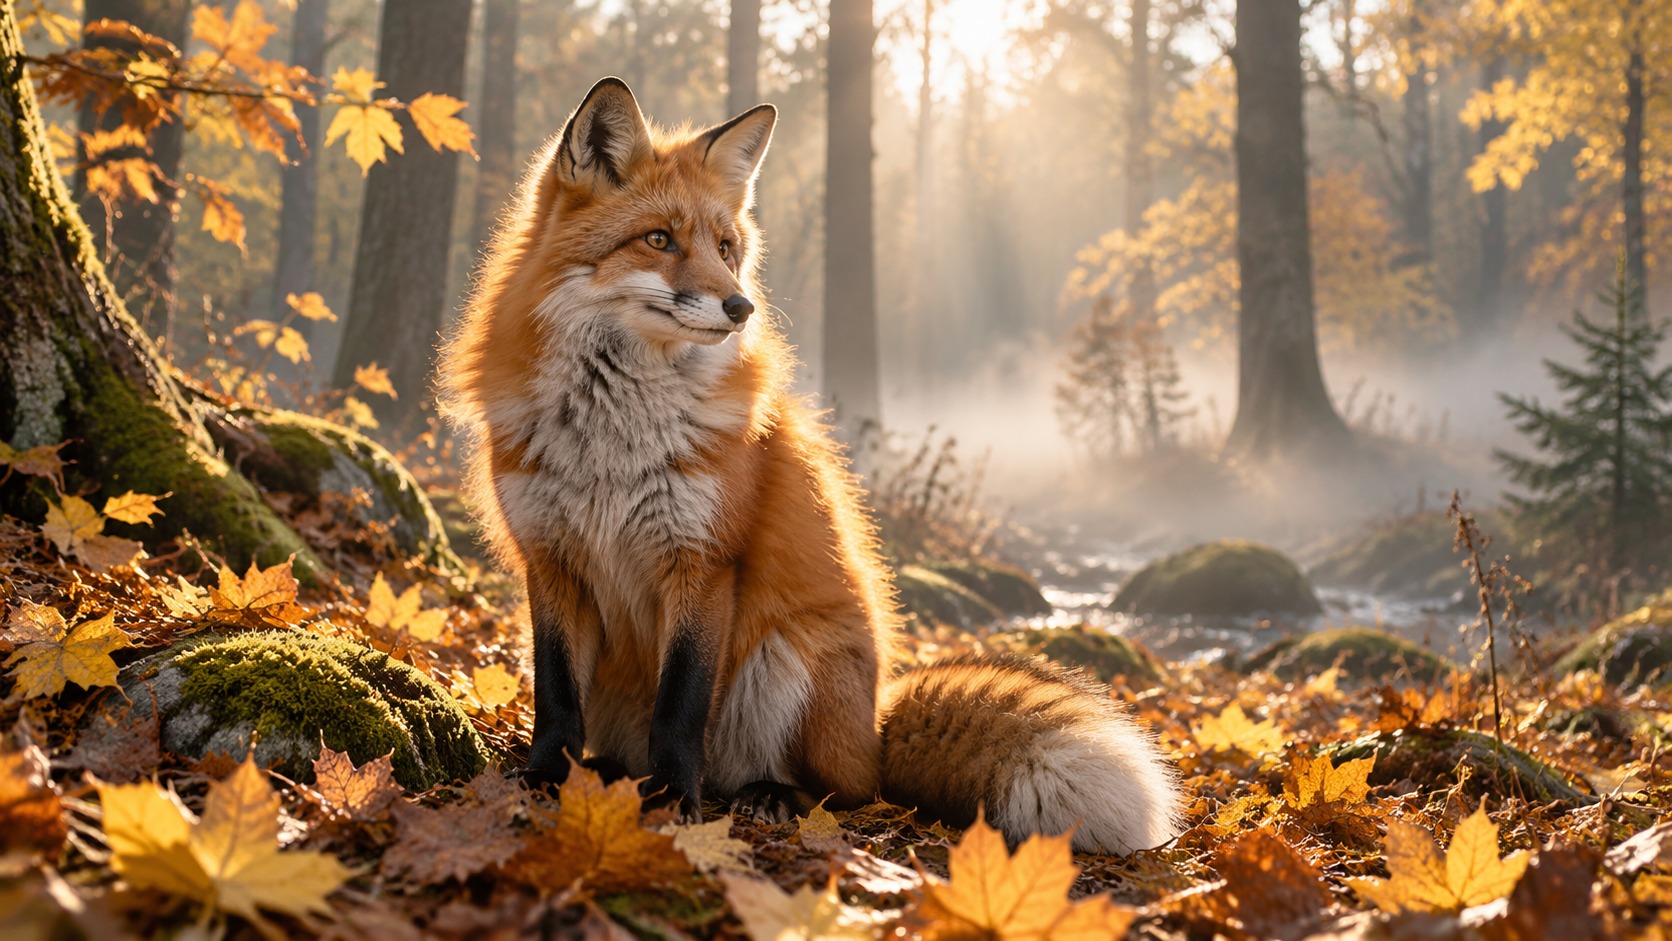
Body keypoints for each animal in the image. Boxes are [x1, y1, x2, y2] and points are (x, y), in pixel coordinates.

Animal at [438, 77, 1181, 855]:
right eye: (659, 239)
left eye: (726, 248)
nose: (740, 306)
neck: (613, 436)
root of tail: (877, 730)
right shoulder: (550, 557)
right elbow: (553, 698)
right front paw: (542, 782)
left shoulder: (703, 561)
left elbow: (680, 705)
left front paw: (676, 804)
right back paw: (615, 776)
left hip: (788, 659)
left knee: (843, 790)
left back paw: (766, 794)